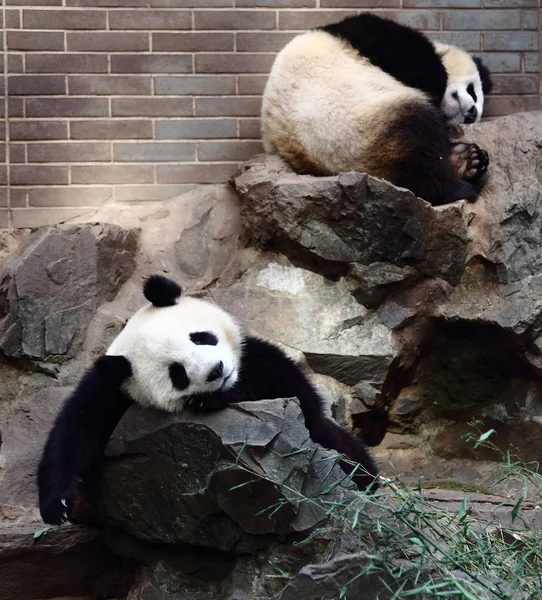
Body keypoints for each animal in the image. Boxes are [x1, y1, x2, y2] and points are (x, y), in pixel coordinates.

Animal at [38, 274, 380, 524]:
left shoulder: (256, 357)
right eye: (177, 374)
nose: (217, 371)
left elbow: (293, 395)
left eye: (200, 337)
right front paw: (58, 504)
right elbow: (75, 429)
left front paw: (213, 399)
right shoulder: (113, 389)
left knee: (344, 451)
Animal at [262, 12, 496, 207]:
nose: (472, 112)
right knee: (418, 140)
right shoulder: (368, 34)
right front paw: (438, 78)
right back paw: (457, 185)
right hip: (346, 127)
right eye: (473, 91)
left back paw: (467, 161)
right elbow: (408, 57)